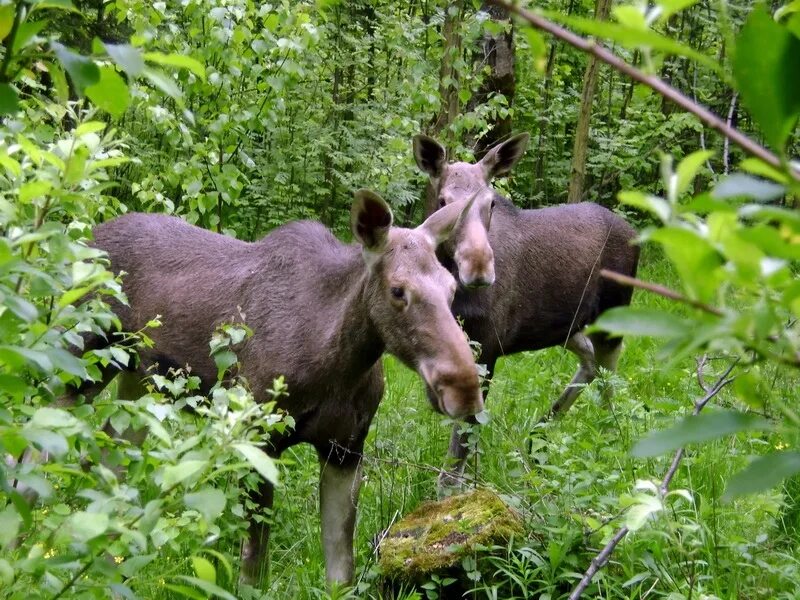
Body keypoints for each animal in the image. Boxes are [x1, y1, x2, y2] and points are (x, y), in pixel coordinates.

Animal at [78, 192, 484, 584]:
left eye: (451, 288)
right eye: (398, 290)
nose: (464, 389)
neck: (338, 364)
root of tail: (88, 233)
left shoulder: (346, 449)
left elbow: (341, 574)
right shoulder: (257, 439)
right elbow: (252, 572)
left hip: (140, 379)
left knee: (109, 452)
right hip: (85, 357)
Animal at [416, 132, 640, 488]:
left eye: (491, 203)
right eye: (442, 201)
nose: (479, 269)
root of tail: (634, 233)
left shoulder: (486, 347)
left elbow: (457, 457)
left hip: (613, 313)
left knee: (609, 371)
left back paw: (608, 439)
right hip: (564, 325)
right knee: (591, 360)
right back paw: (541, 432)